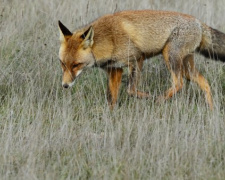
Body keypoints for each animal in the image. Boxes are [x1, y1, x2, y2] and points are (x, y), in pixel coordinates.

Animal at [58, 9, 225, 109]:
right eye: (63, 64)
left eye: (76, 65)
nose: (65, 86)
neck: (109, 38)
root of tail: (198, 22)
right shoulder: (115, 69)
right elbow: (112, 97)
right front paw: (111, 115)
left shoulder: (137, 58)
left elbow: (131, 90)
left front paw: (148, 97)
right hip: (186, 68)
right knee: (205, 83)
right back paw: (211, 110)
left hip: (170, 57)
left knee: (179, 83)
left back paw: (160, 99)